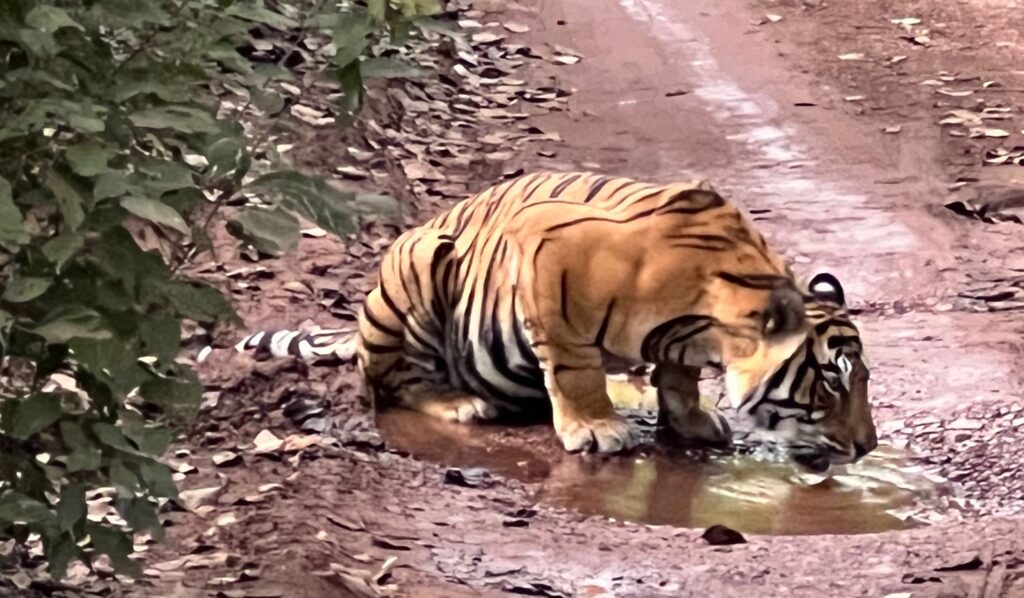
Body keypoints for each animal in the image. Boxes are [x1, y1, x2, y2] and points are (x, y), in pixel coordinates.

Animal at [231, 171, 877, 465]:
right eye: (833, 381)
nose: (868, 447)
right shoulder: (549, 251)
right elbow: (573, 366)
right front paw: (596, 427)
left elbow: (679, 376)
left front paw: (690, 418)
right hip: (417, 264)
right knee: (390, 378)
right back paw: (460, 402)